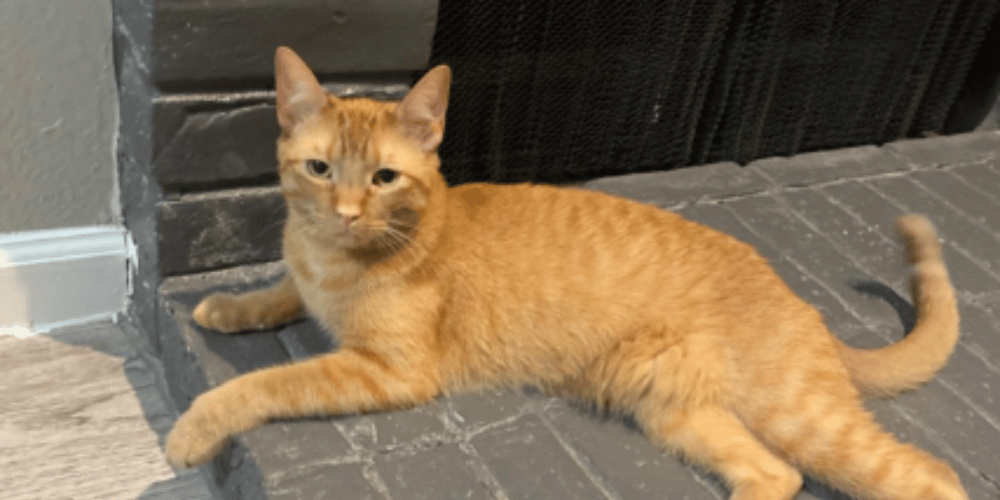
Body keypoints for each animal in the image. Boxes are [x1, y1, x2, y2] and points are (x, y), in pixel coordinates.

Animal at [166, 46, 968, 500]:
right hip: (677, 411)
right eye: (319, 169)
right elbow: (277, 292)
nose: (345, 212)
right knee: (778, 475)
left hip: (801, 415)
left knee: (931, 477)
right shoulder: (309, 284)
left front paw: (192, 427)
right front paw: (228, 305)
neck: (336, 258)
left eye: (385, 177)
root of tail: (800, 304)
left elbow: (264, 384)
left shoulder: (388, 370)